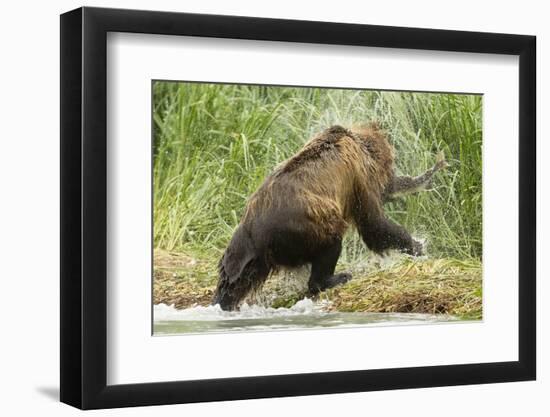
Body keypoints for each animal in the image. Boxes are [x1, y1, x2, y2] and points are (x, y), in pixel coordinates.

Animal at [212, 123, 448, 308]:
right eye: (391, 162)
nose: (391, 180)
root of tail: (252, 232)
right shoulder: (359, 177)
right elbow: (374, 224)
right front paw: (417, 245)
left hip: (245, 258)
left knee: (233, 283)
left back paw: (223, 301)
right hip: (305, 226)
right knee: (330, 243)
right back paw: (337, 277)